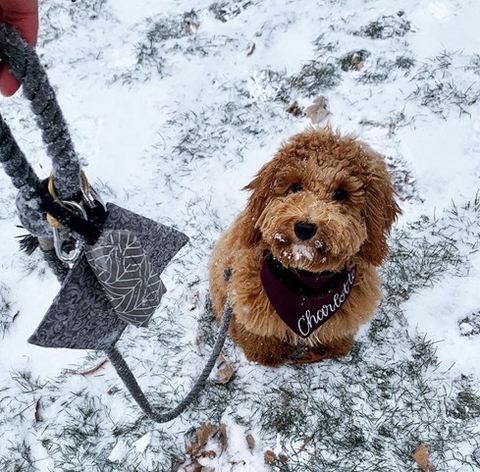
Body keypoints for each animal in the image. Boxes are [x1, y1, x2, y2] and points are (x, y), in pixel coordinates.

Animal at [208, 127, 400, 366]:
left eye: (340, 194)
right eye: (296, 187)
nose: (305, 227)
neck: (305, 286)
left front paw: (330, 349)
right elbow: (257, 332)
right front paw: (267, 354)